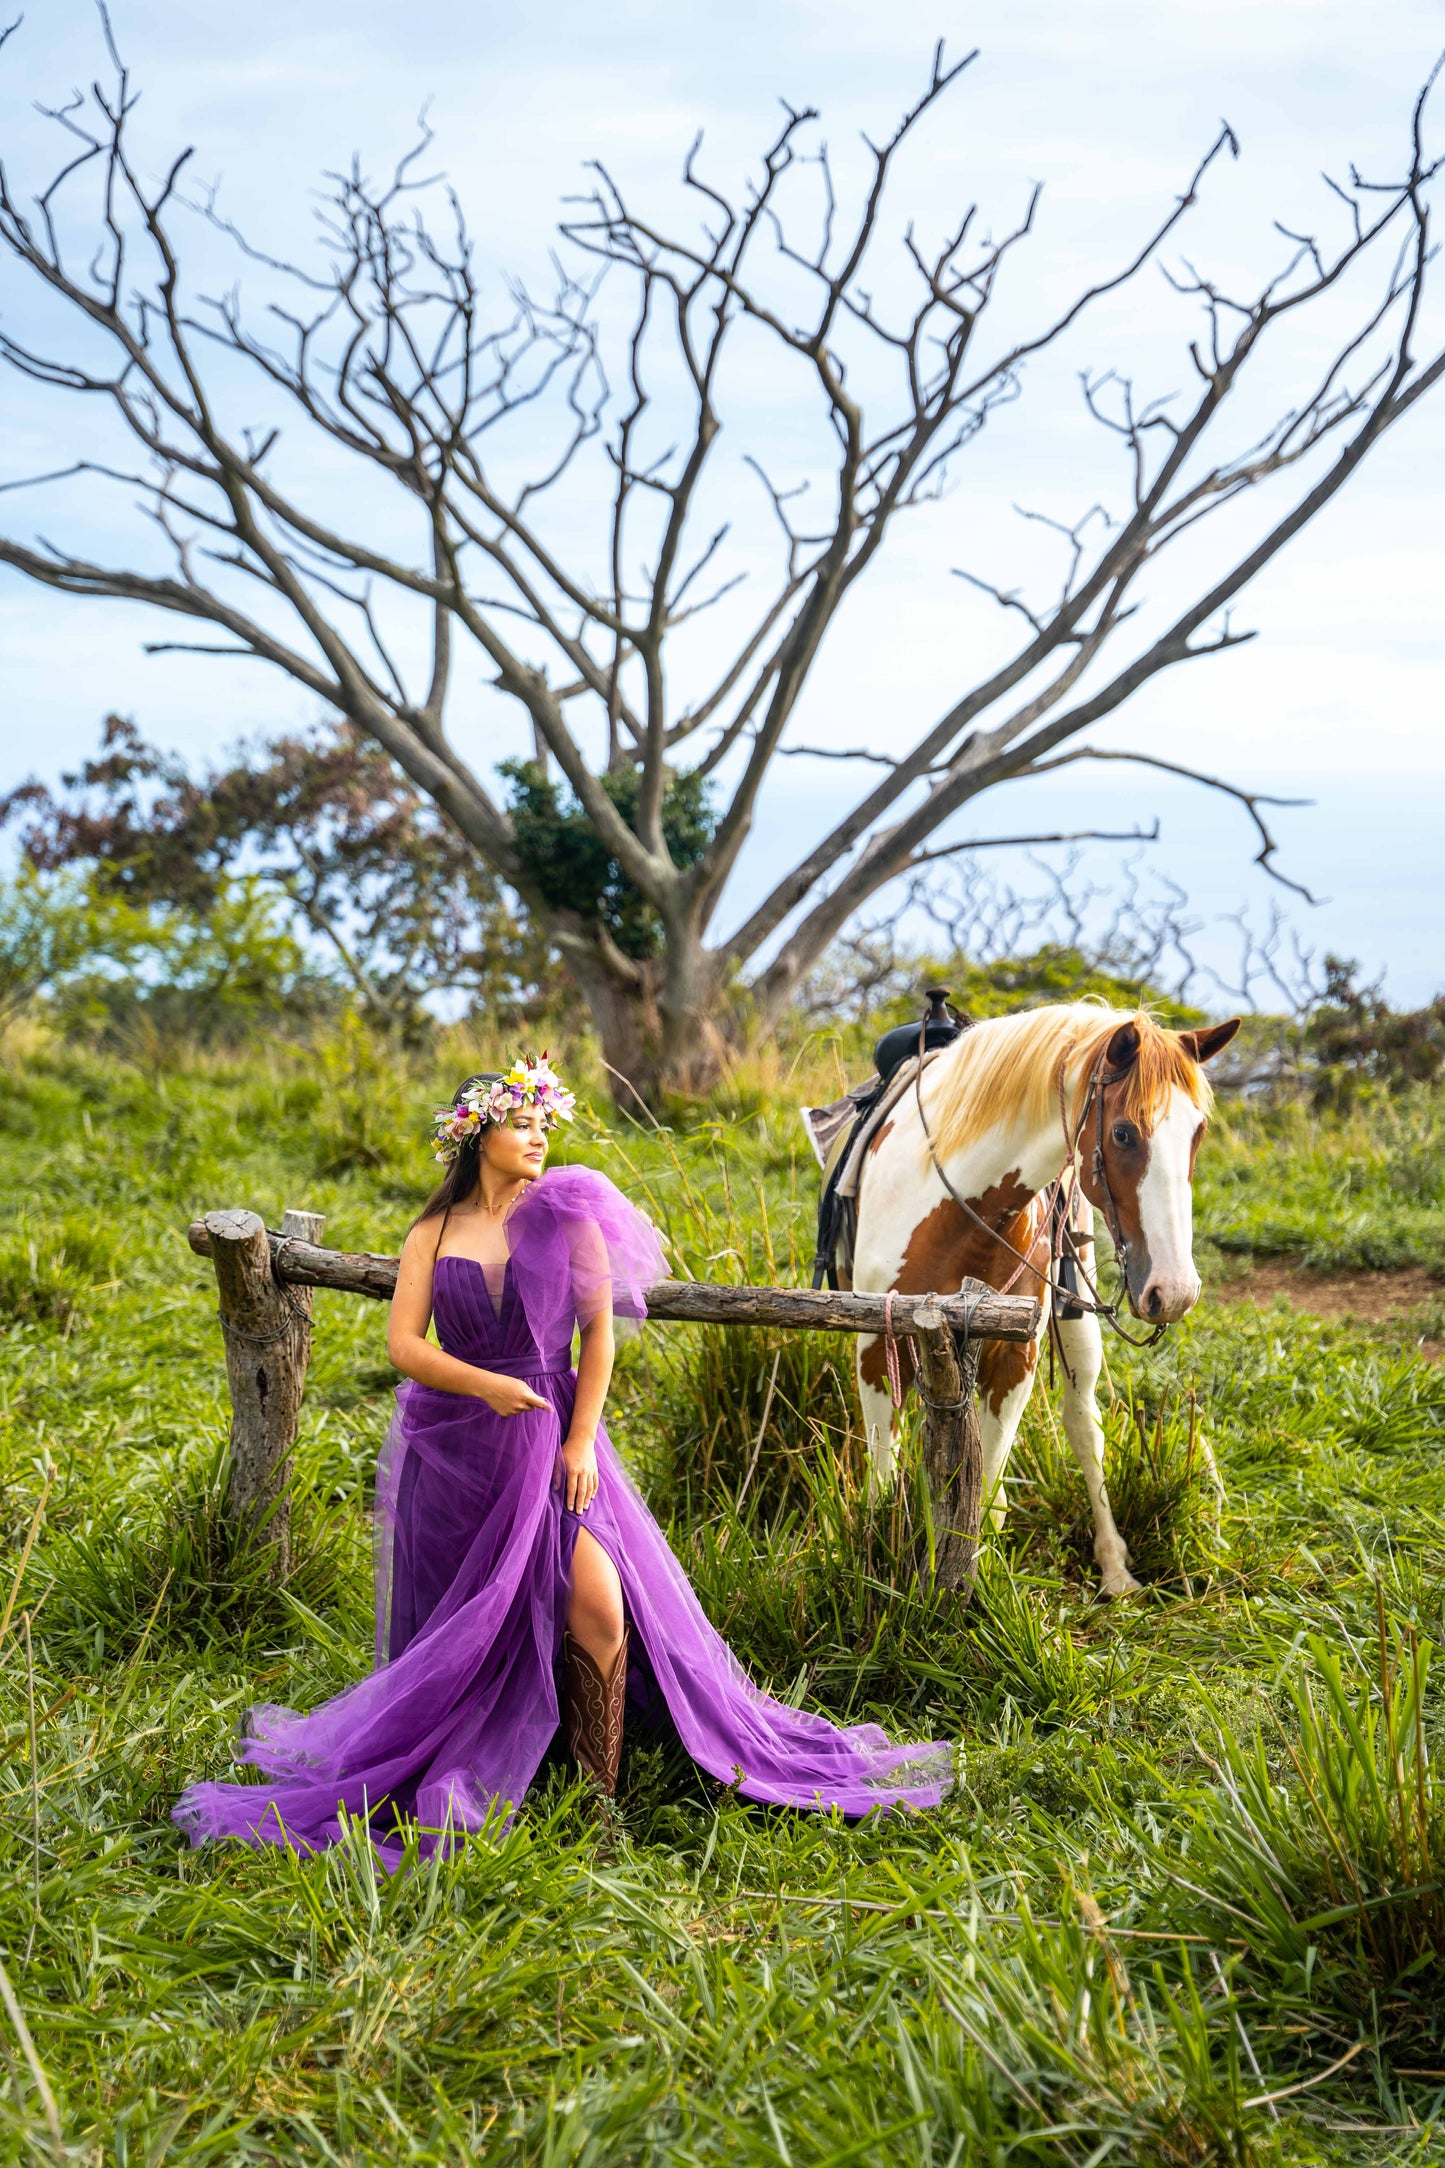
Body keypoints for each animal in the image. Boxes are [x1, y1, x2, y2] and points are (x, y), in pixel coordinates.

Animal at [849, 997, 1247, 1595]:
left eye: (1197, 1133)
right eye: (1124, 1134)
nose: (1174, 1292)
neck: (950, 1203)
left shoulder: (1014, 1353)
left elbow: (985, 1482)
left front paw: (974, 1575)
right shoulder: (876, 1340)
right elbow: (882, 1466)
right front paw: (876, 1551)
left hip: (1078, 1325)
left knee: (1085, 1428)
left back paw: (1114, 1568)